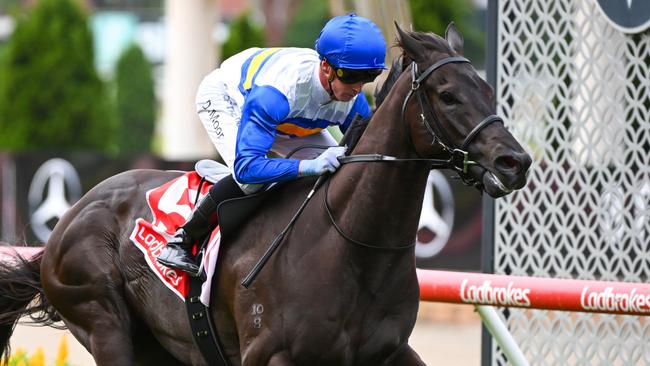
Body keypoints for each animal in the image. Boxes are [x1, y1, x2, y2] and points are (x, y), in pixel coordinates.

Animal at [0, 24, 528, 364]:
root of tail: (68, 220)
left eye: (487, 88)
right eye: (448, 95)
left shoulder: (392, 352)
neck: (352, 244)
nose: (515, 162)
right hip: (104, 324)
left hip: (160, 344)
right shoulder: (270, 354)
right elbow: (248, 165)